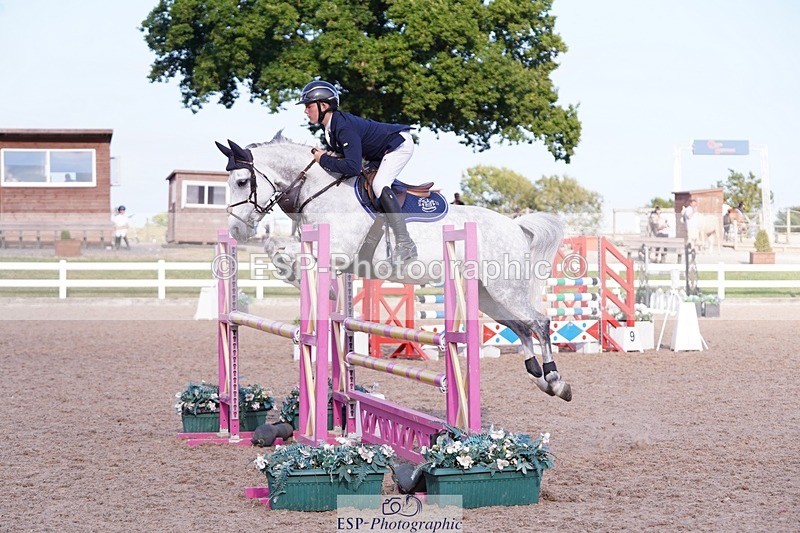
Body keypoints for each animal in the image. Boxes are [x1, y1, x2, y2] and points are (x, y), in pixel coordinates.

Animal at [217, 133, 572, 402]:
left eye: (242, 181)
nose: (235, 230)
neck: (321, 191)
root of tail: (515, 226)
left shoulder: (335, 252)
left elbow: (287, 251)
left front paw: (307, 280)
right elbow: (277, 248)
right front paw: (307, 283)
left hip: (505, 288)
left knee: (539, 322)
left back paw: (555, 380)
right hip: (488, 295)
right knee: (521, 326)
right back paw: (539, 378)